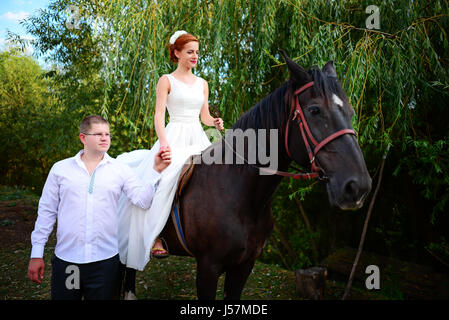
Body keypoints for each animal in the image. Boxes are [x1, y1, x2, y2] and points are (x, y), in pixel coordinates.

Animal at [120, 52, 372, 300]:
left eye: (350, 112)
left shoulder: (243, 267)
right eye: (314, 110)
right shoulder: (208, 268)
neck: (241, 194)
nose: (358, 186)